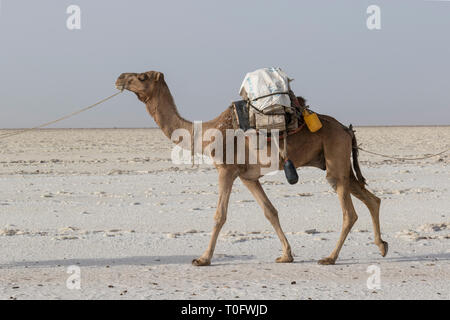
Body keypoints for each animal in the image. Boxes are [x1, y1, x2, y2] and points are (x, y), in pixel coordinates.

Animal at [115, 71, 386, 266]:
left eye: (142, 77)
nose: (119, 78)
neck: (207, 133)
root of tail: (346, 129)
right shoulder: (248, 177)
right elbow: (270, 212)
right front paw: (286, 255)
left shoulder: (226, 170)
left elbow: (219, 215)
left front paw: (202, 259)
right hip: (337, 163)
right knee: (372, 199)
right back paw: (382, 245)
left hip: (334, 160)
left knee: (349, 212)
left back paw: (330, 258)